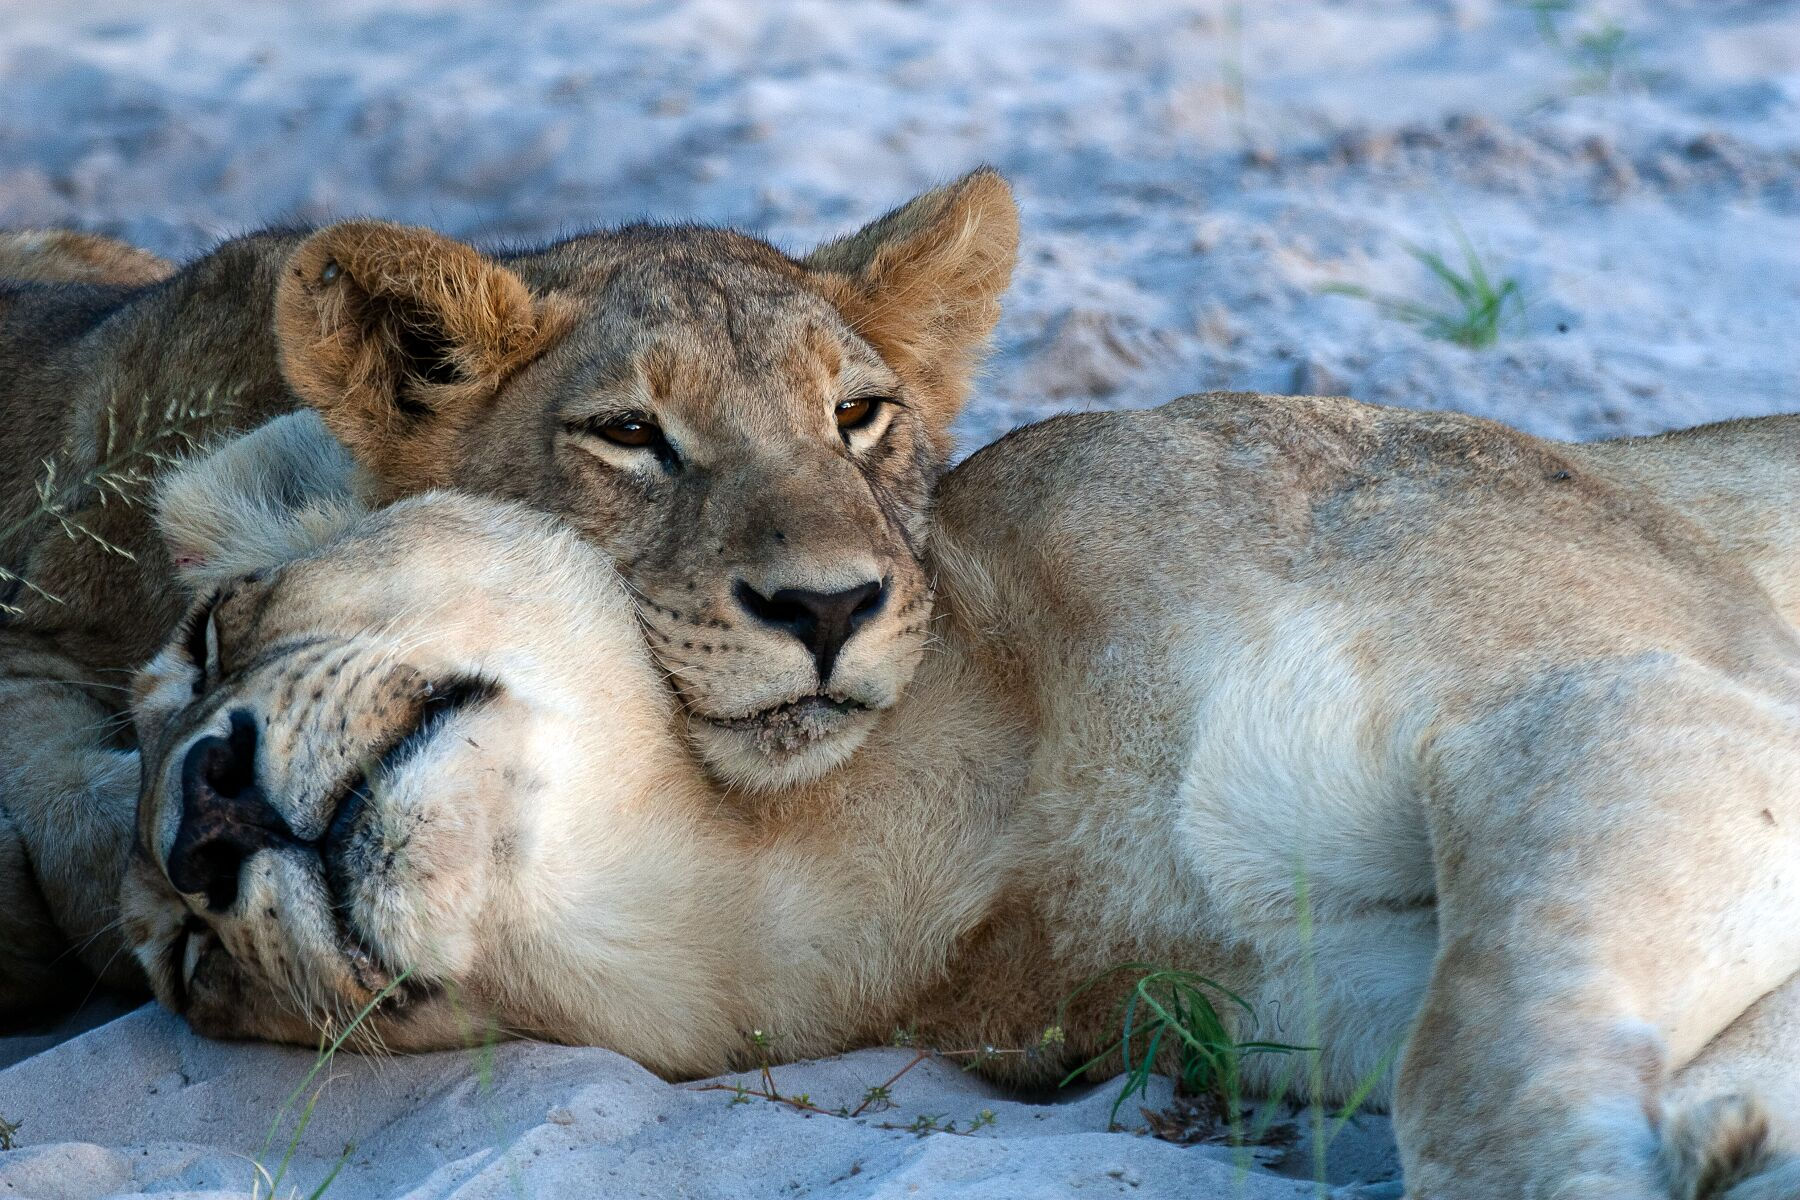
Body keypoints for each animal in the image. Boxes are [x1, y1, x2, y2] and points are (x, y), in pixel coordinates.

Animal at [120, 396, 1800, 1198]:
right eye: (190, 971)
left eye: (212, 633)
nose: (204, 826)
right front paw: (1722, 1148)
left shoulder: (1622, 688)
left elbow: (1472, 1054)